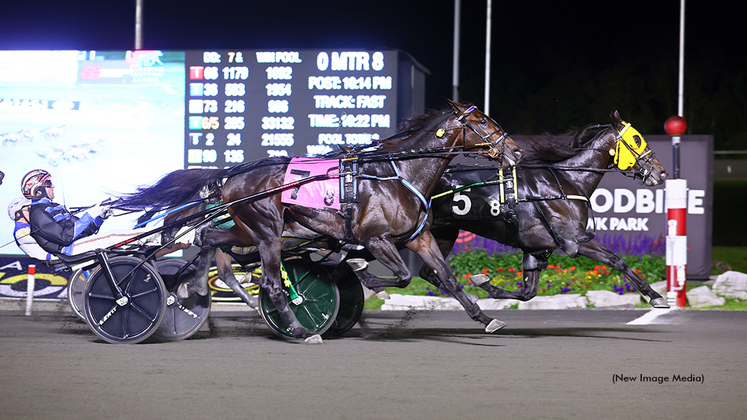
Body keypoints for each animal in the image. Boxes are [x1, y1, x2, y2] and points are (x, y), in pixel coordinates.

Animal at [420, 111, 672, 308]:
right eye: (636, 139)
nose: (661, 172)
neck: (568, 179)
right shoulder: (574, 239)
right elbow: (617, 261)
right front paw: (655, 296)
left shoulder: (536, 249)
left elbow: (527, 293)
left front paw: (486, 285)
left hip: (444, 233)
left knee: (428, 273)